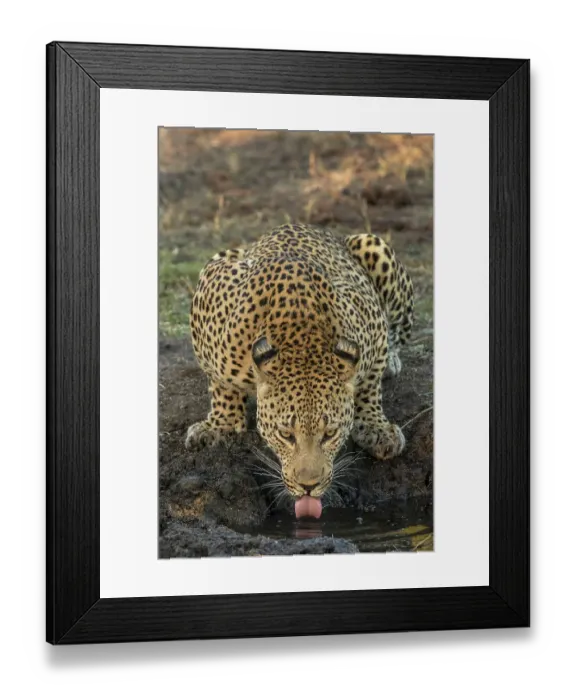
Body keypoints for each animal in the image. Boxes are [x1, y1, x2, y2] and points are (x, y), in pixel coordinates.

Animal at [185, 224, 414, 516]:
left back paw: (393, 361)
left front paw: (376, 428)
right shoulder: (210, 291)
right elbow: (220, 383)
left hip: (373, 246)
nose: (308, 486)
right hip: (224, 256)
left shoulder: (372, 323)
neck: (302, 341)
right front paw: (220, 425)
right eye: (285, 435)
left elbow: (370, 383)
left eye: (330, 434)